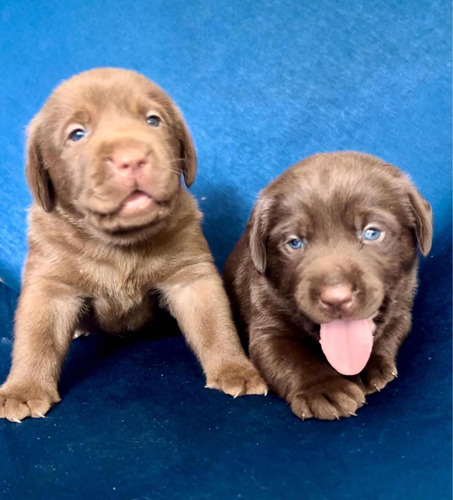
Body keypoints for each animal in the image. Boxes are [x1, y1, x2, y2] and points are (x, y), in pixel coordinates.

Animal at [0, 67, 266, 422]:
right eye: (77, 134)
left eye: (153, 120)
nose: (132, 159)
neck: (120, 244)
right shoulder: (50, 286)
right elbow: (36, 338)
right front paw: (23, 388)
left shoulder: (192, 276)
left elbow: (214, 324)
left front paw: (235, 368)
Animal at [224, 153, 432, 422]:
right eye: (294, 243)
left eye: (372, 233)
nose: (336, 298)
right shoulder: (267, 329)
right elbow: (290, 359)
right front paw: (324, 389)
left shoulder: (402, 310)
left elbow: (390, 334)